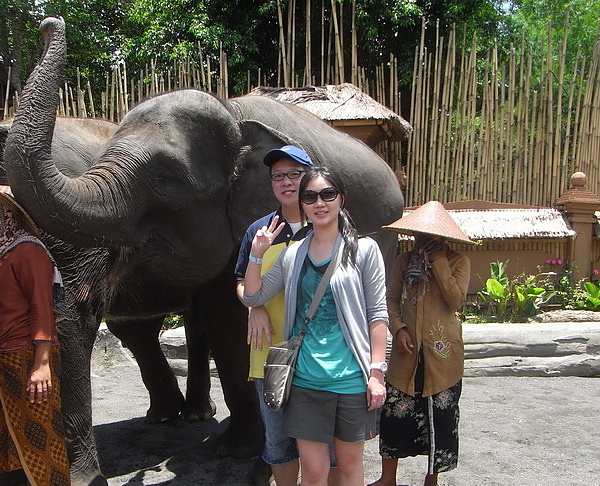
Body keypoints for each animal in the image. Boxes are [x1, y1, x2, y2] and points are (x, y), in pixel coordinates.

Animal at [3, 17, 404, 484]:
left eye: (164, 178)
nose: (49, 24)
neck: (233, 114)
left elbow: (229, 317)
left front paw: (237, 451)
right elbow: (223, 316)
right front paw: (235, 446)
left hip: (388, 233)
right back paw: (174, 417)